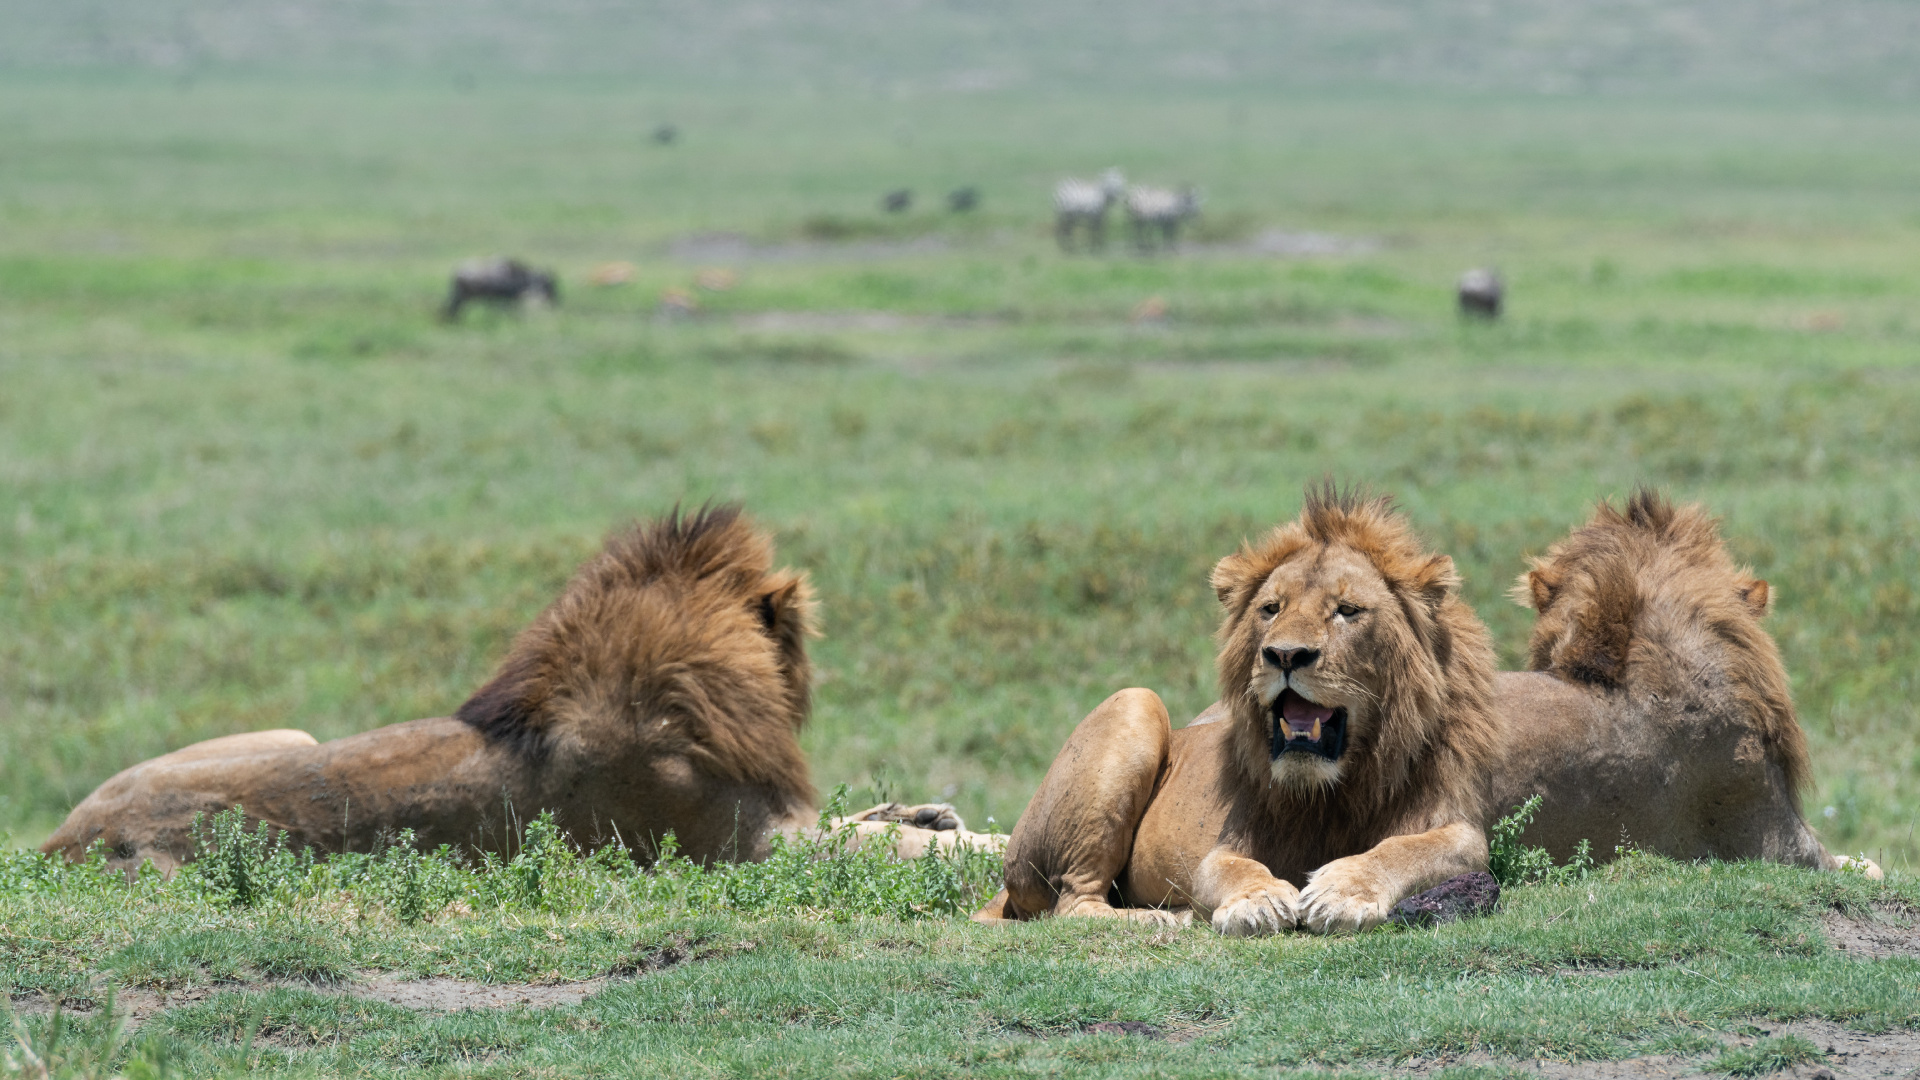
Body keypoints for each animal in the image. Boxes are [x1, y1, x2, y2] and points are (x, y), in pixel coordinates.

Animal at [44, 505, 997, 875]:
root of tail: (59, 838)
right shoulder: (747, 845)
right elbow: (898, 849)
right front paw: (965, 840)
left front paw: (934, 815)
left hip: (290, 734)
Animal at [974, 486, 1503, 934]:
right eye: (1271, 609)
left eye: (1347, 610)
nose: (1285, 655)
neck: (1332, 790)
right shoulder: (1223, 846)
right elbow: (1229, 868)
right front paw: (1258, 901)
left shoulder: (1457, 825)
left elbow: (1406, 849)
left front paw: (1342, 890)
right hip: (1135, 702)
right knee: (1071, 903)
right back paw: (1160, 918)